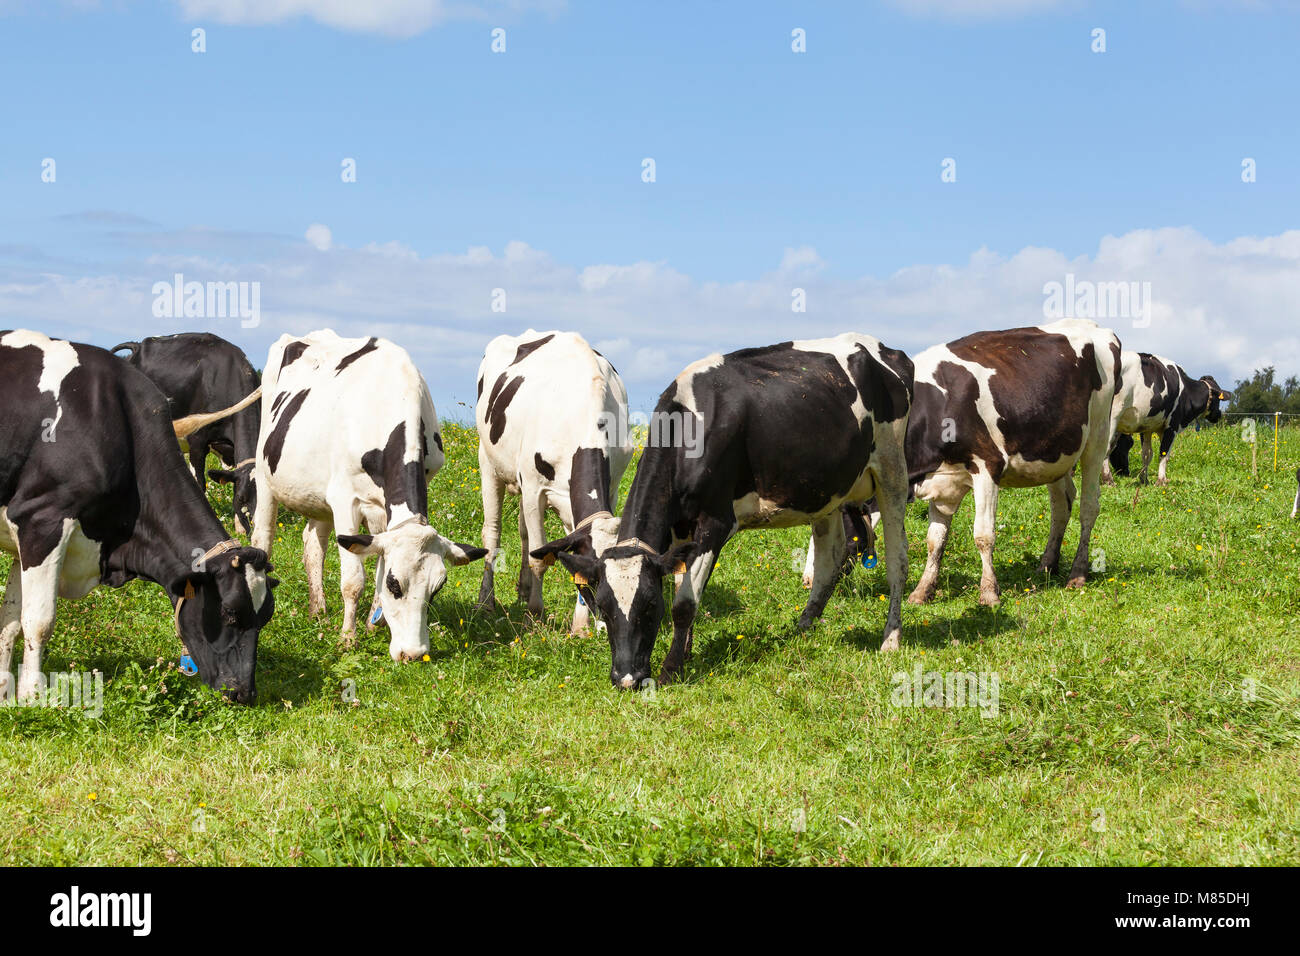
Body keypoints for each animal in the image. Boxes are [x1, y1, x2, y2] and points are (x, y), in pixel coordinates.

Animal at [247, 330, 485, 661]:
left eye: (436, 588)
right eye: (395, 585)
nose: (414, 653)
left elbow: (375, 563)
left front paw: (374, 626)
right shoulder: (345, 500)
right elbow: (354, 580)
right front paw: (348, 638)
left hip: (318, 494)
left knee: (313, 545)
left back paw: (318, 611)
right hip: (266, 475)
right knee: (263, 537)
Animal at [473, 330, 634, 633]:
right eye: (594, 579)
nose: (606, 625)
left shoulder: (610, 490)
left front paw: (580, 626)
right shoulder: (534, 489)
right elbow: (541, 560)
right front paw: (534, 615)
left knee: (525, 535)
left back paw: (524, 589)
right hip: (488, 463)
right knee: (493, 532)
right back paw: (485, 602)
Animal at [531, 333, 914, 689]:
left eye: (650, 606)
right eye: (604, 607)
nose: (626, 678)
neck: (689, 429)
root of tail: (880, 347)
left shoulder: (715, 522)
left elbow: (685, 603)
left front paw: (671, 668)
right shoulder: (680, 531)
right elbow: (684, 587)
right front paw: (684, 653)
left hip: (892, 470)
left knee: (898, 559)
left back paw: (890, 638)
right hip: (826, 491)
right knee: (830, 558)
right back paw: (802, 628)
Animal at [1102, 351, 1230, 485]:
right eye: (1218, 400)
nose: (1218, 415)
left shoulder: (1148, 427)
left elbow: (1147, 454)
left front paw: (1144, 480)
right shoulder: (1172, 425)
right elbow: (1164, 453)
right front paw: (1161, 481)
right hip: (1111, 416)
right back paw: (1108, 480)